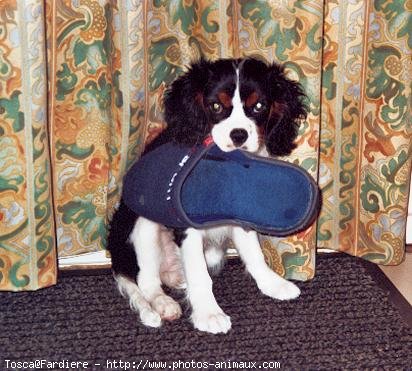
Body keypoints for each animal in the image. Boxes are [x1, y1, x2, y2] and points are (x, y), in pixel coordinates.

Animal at [108, 57, 308, 334]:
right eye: (215, 106)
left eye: (259, 106)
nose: (239, 134)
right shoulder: (186, 224)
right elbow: (198, 273)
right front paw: (208, 313)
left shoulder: (241, 210)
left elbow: (254, 253)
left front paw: (272, 283)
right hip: (143, 224)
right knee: (146, 280)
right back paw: (164, 304)